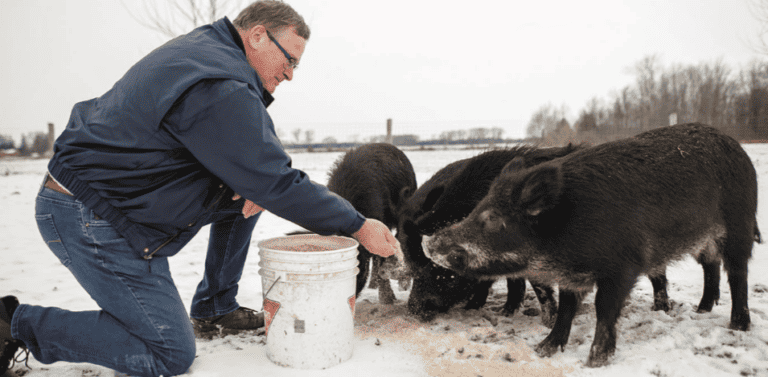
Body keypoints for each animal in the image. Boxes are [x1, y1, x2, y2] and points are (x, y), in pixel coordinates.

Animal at [424, 124, 760, 368]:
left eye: (493, 218)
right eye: (477, 208)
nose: (429, 241)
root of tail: (739, 149)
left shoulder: (624, 266)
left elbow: (604, 308)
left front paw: (595, 361)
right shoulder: (572, 276)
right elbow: (566, 310)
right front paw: (543, 349)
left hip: (739, 226)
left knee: (738, 273)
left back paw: (738, 326)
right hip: (706, 240)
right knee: (711, 266)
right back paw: (702, 309)